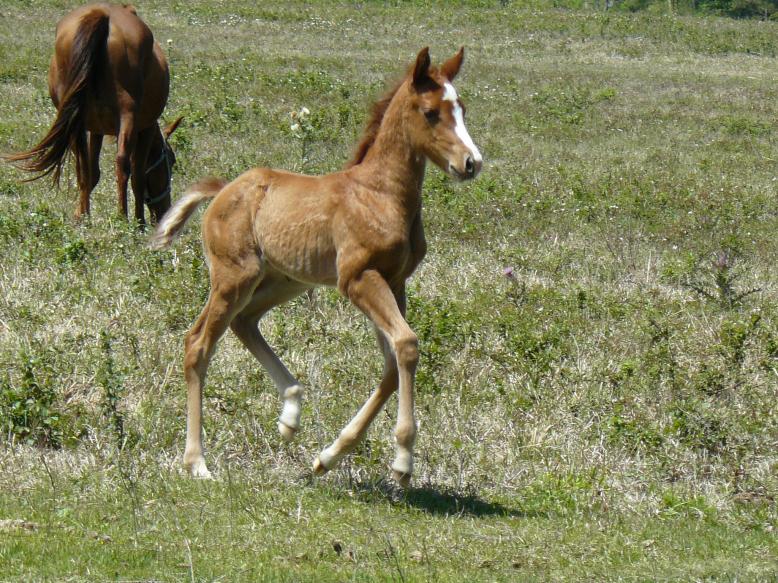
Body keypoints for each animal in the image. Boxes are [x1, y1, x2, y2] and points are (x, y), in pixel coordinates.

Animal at [4, 2, 180, 226]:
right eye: (171, 160)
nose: (164, 211)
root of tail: (103, 14)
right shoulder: (145, 128)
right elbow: (138, 175)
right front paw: (139, 222)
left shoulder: (97, 129)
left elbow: (93, 172)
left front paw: (80, 213)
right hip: (127, 115)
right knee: (122, 164)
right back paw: (122, 217)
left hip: (74, 120)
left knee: (83, 166)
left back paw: (86, 215)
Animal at [149, 46, 482, 488]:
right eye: (431, 113)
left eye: (461, 107)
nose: (471, 162)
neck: (381, 194)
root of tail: (222, 190)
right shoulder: (357, 278)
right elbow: (408, 345)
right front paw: (402, 460)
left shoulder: (395, 282)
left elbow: (392, 364)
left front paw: (328, 456)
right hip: (234, 277)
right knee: (198, 343)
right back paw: (197, 461)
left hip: (283, 280)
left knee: (244, 323)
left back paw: (290, 413)